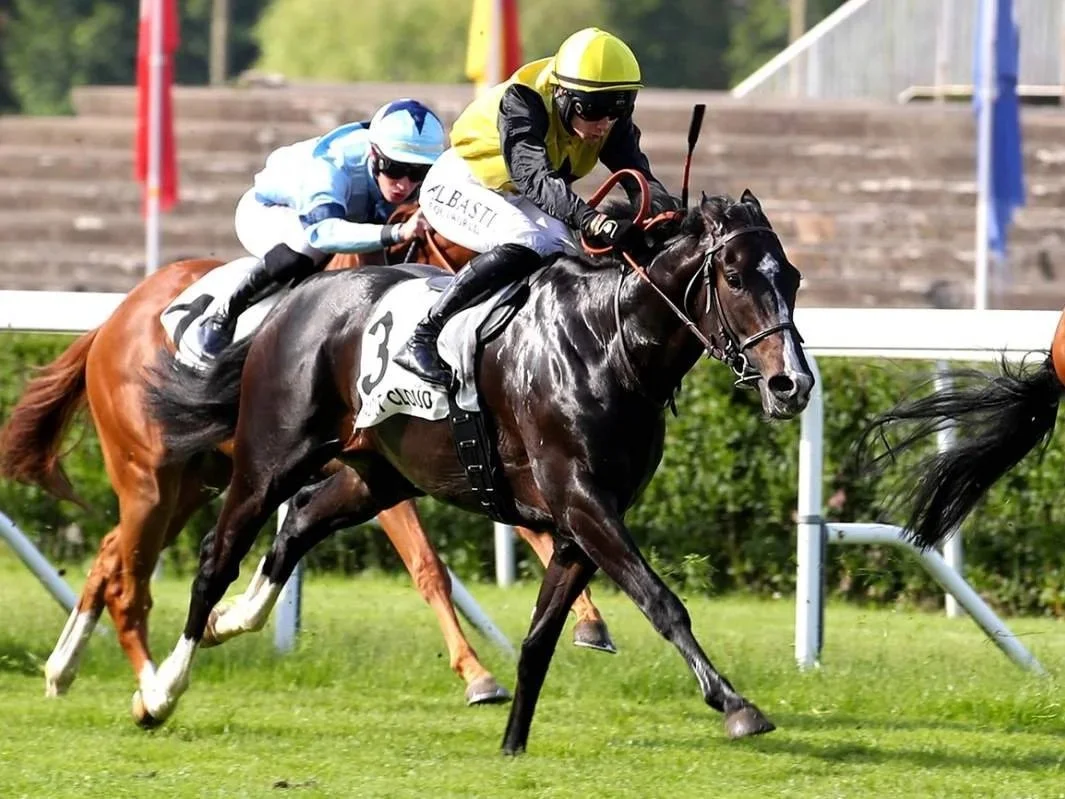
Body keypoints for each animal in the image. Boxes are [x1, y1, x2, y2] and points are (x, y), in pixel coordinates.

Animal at [0, 206, 612, 711]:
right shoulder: (382, 472)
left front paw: (589, 621)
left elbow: (537, 525)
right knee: (131, 581)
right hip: (151, 477)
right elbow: (429, 568)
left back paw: (62, 669)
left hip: (197, 480)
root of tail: (114, 319)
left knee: (111, 555)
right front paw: (479, 676)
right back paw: (151, 685)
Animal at [139, 170, 814, 753]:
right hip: (270, 458)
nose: (793, 385)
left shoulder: (583, 522)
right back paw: (159, 692)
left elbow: (540, 638)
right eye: (733, 276)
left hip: (377, 476)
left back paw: (229, 622)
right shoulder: (582, 502)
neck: (607, 341)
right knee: (217, 556)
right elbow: (660, 600)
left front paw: (513, 743)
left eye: (793, 277)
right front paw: (736, 705)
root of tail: (293, 302)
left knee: (300, 524)